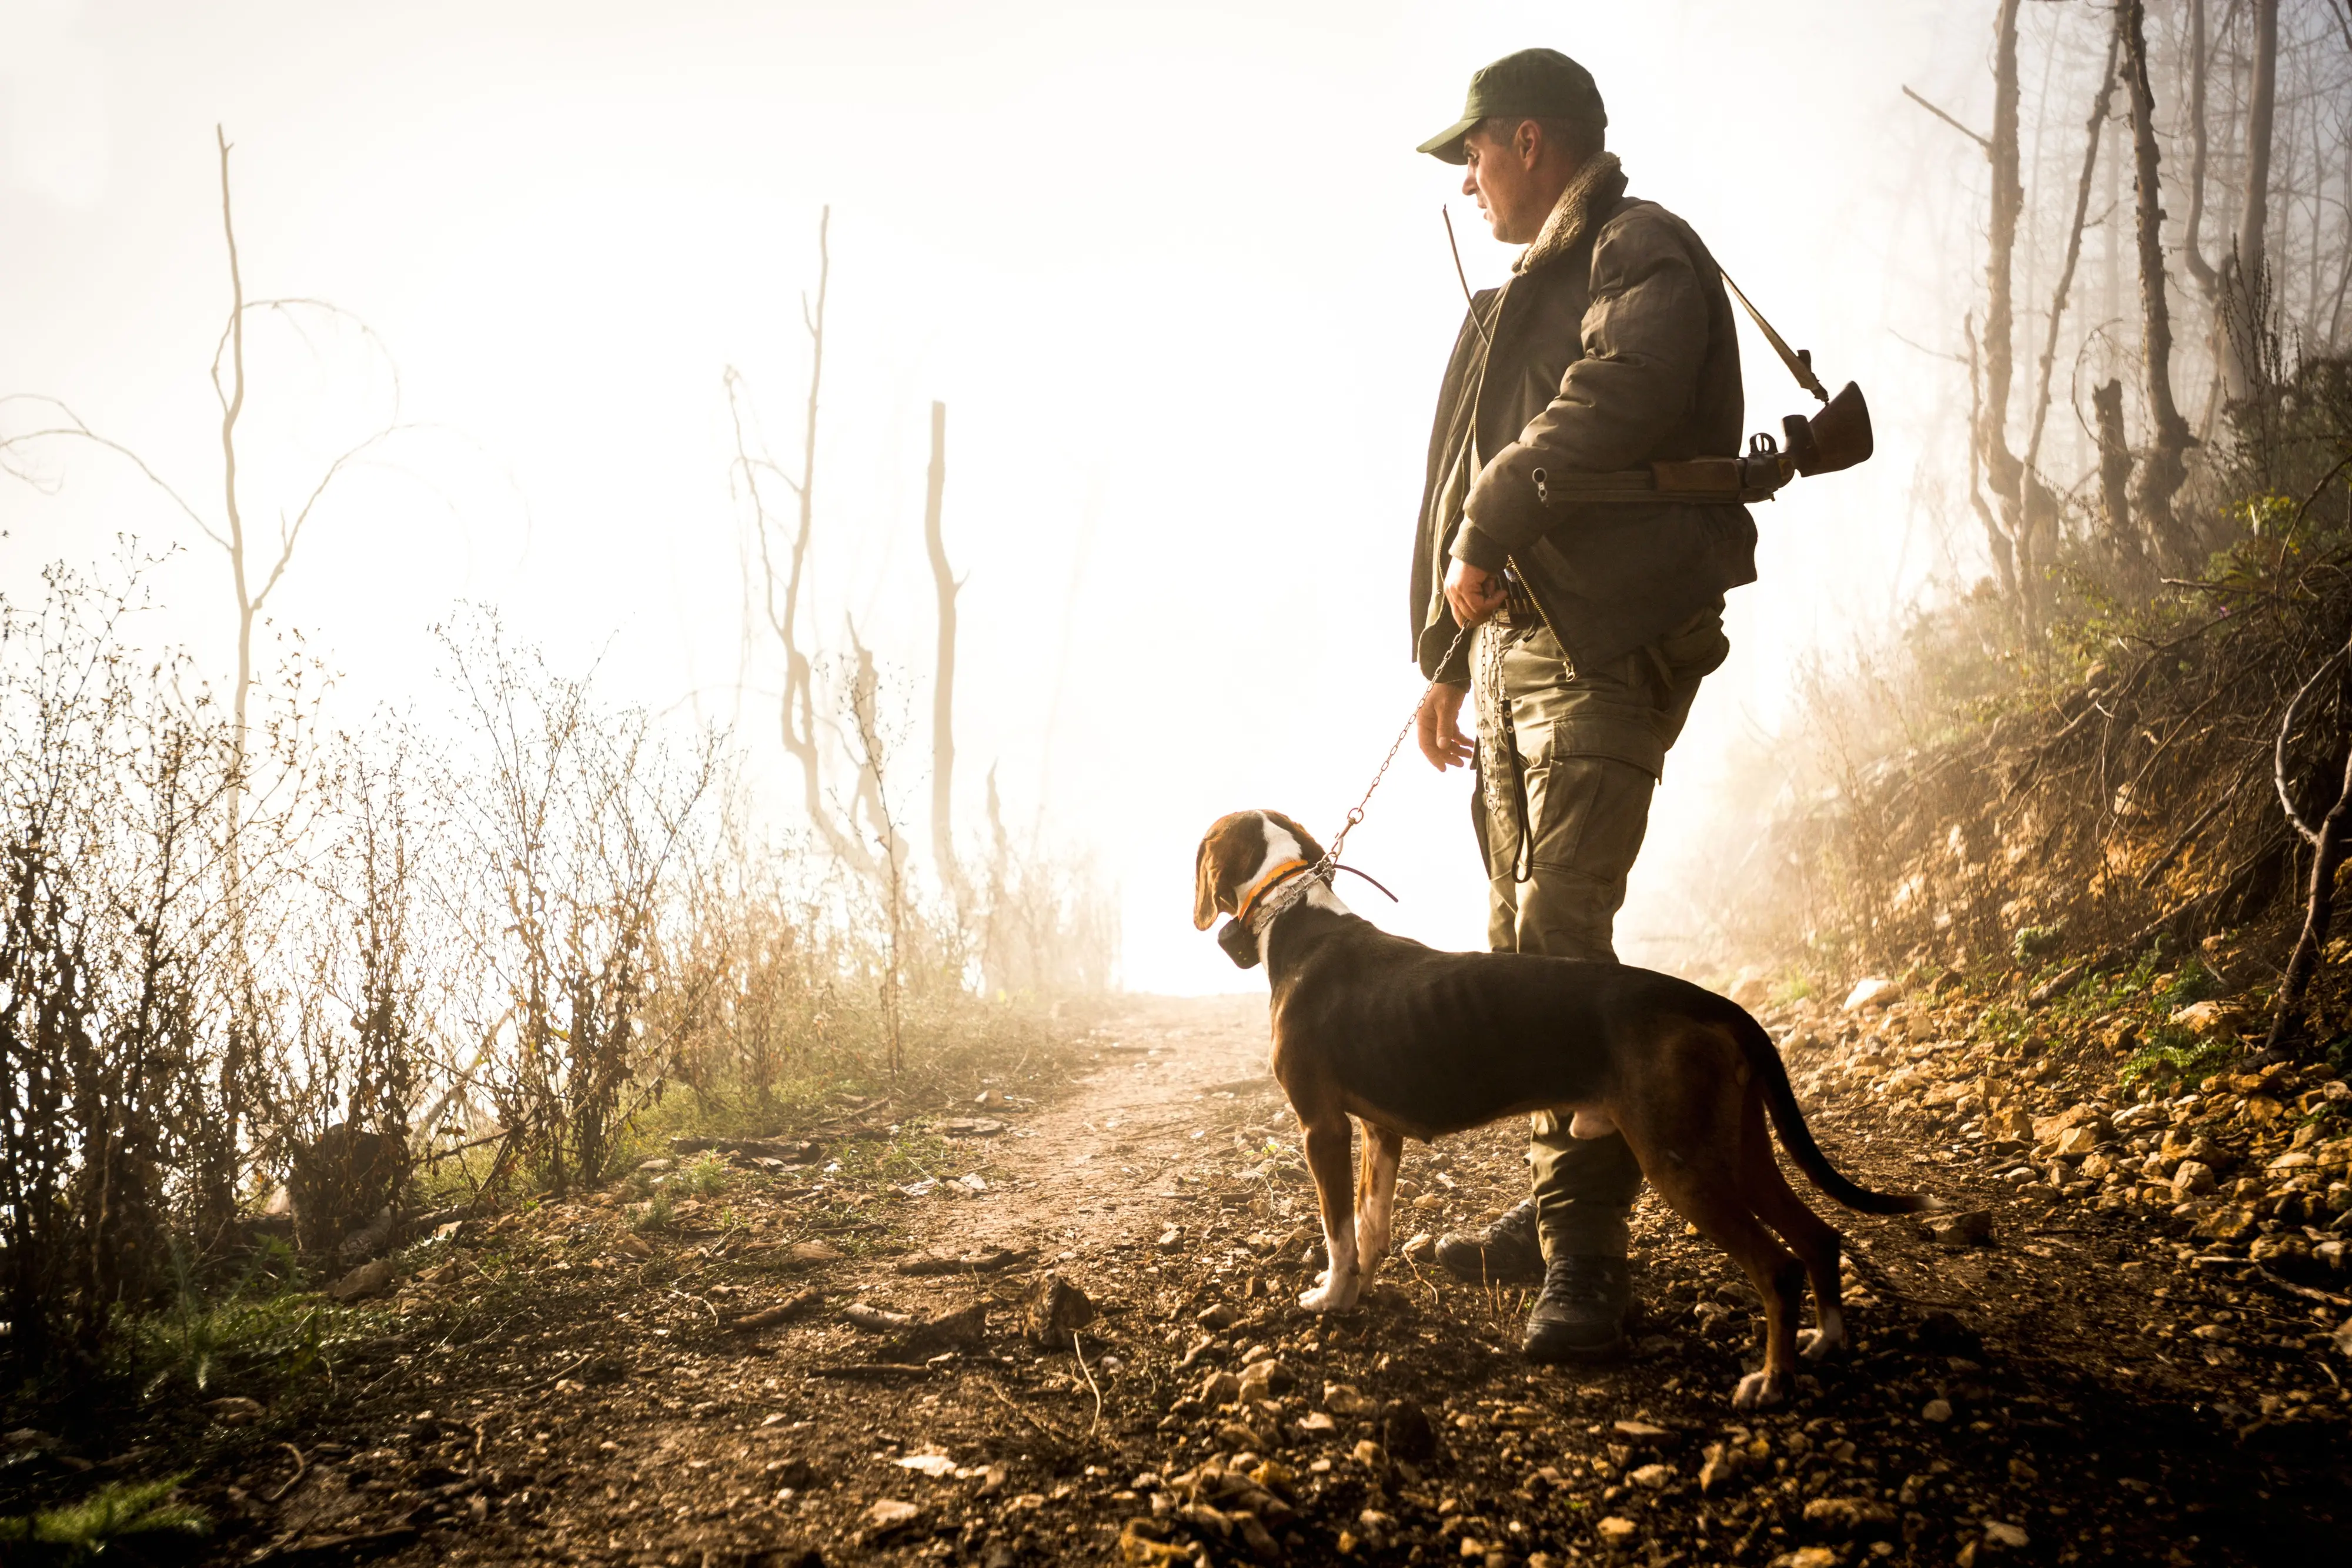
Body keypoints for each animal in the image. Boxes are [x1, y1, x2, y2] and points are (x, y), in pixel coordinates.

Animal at [1195, 808, 1929, 1410]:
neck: (1297, 918)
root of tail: (1710, 1002)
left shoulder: (1321, 1129)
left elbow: (1337, 1231)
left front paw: (1329, 1298)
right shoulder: (1379, 1132)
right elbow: (1370, 1228)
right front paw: (1358, 1291)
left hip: (1682, 1164)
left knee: (1777, 1268)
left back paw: (1772, 1383)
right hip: (1737, 1149)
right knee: (1818, 1237)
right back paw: (1825, 1342)